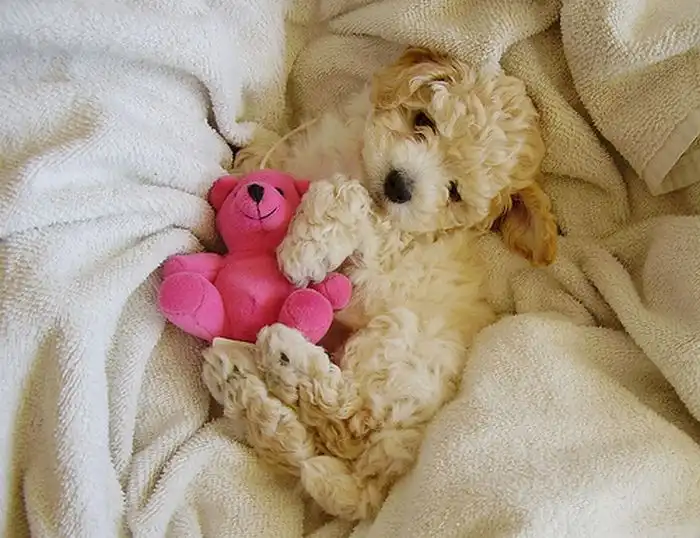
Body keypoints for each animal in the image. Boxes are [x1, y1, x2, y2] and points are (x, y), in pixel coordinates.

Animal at [203, 47, 557, 520]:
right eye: (424, 120)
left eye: (454, 191)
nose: (398, 185)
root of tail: (382, 479)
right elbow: (280, 158)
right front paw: (248, 160)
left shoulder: (386, 243)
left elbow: (345, 196)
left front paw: (302, 250)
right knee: (300, 447)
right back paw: (238, 378)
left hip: (398, 351)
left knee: (345, 419)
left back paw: (282, 357)